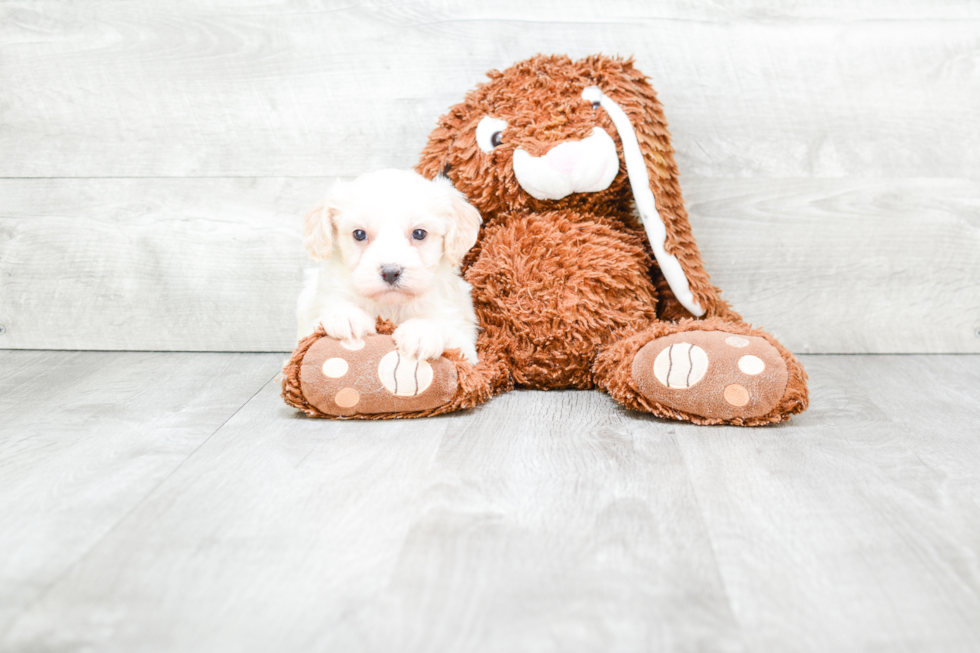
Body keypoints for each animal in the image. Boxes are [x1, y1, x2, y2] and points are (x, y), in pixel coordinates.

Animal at [298, 168, 482, 362]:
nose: (391, 272)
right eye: (359, 234)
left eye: (419, 233)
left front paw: (421, 330)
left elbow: (447, 329)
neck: (391, 305)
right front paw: (346, 314)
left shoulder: (465, 346)